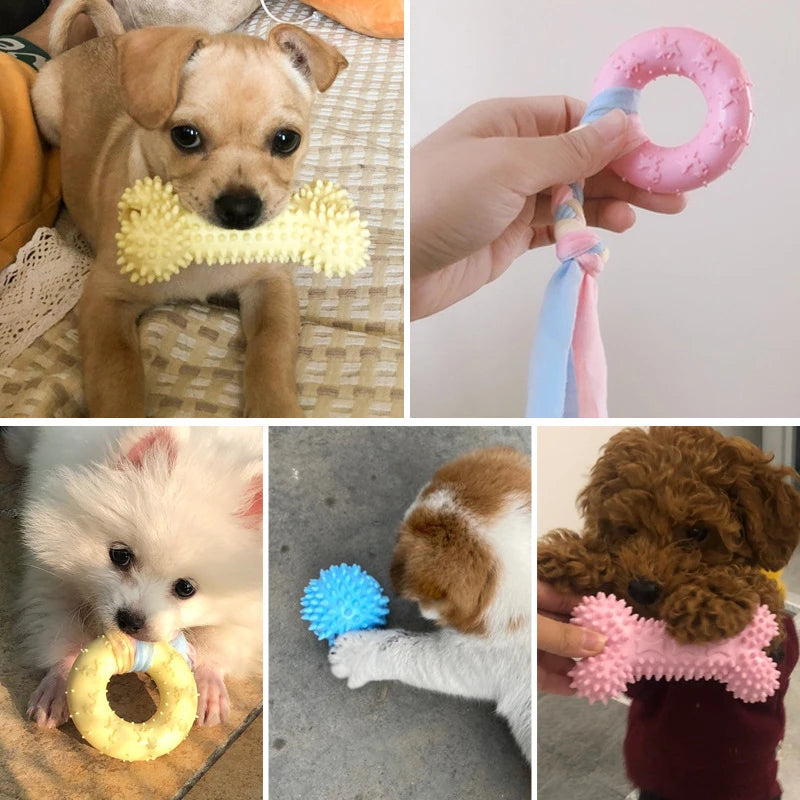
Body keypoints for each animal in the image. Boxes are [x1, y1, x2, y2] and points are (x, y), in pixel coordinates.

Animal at [6, 428, 262, 728]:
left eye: (186, 588)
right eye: (120, 555)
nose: (130, 620)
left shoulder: (249, 606)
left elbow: (222, 637)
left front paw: (209, 686)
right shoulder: (53, 575)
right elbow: (60, 628)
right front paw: (58, 684)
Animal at [32, 3, 346, 418]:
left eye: (286, 140)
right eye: (186, 136)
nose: (241, 209)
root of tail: (106, 37)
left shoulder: (271, 284)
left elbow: (271, 350)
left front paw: (276, 408)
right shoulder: (104, 302)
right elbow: (117, 374)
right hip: (45, 113)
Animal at [536, 428, 800, 648]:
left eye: (698, 532)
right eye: (629, 528)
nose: (642, 590)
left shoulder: (773, 623)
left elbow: (755, 582)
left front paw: (707, 599)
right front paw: (568, 556)